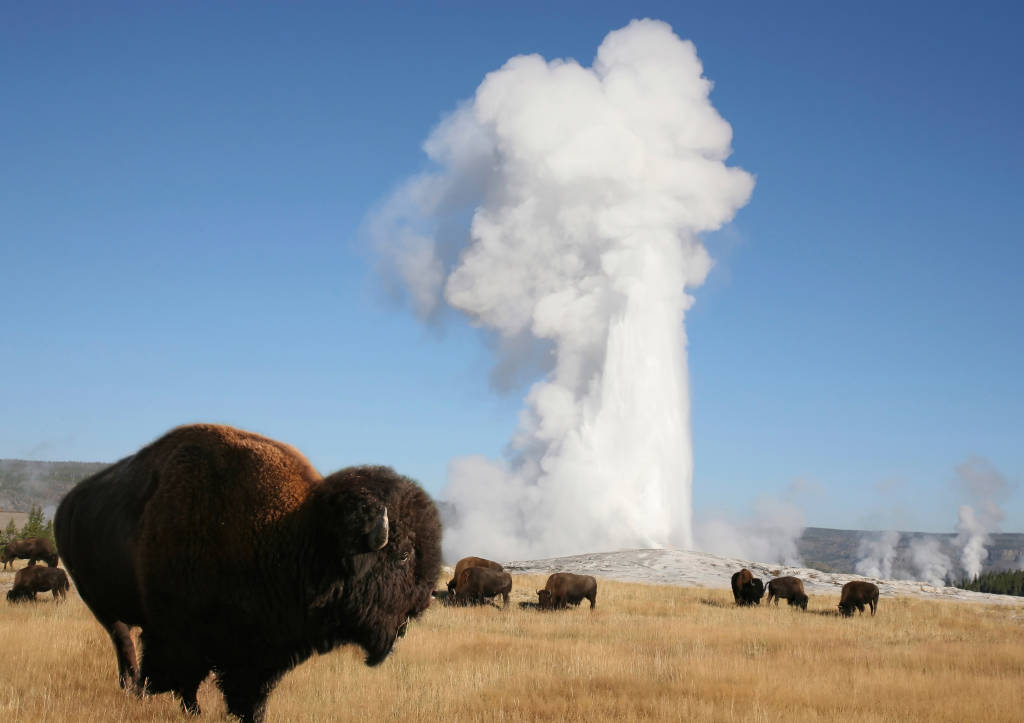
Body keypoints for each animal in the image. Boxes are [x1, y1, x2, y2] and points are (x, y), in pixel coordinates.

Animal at [55, 421, 440, 720]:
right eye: (404, 554)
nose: (421, 604)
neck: (301, 533)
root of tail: (66, 506)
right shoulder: (182, 635)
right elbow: (186, 678)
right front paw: (191, 710)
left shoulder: (261, 650)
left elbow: (249, 691)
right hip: (101, 605)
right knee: (122, 641)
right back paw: (133, 688)